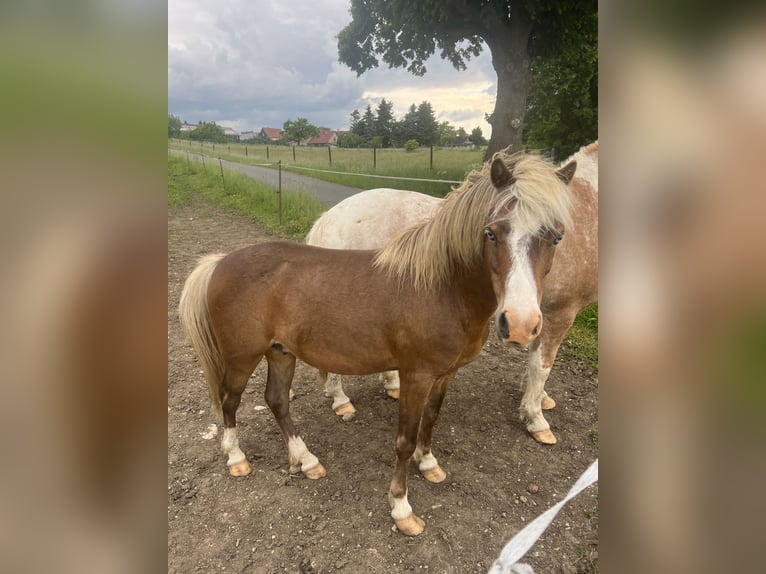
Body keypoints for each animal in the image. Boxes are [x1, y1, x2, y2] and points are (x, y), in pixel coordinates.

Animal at [178, 150, 575, 536]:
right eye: (491, 233)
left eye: (556, 237)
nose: (521, 324)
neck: (440, 288)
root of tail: (220, 263)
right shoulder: (415, 375)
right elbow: (404, 439)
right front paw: (401, 508)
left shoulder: (445, 374)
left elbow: (431, 420)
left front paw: (428, 463)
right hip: (242, 357)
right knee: (229, 402)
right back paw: (237, 458)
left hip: (281, 353)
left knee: (276, 401)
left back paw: (306, 460)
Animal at [306, 142, 598, 444]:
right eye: (490, 234)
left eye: (557, 237)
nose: (517, 324)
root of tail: (329, 219)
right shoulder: (560, 313)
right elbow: (542, 367)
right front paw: (536, 419)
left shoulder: (538, 317)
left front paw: (539, 399)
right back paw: (341, 399)